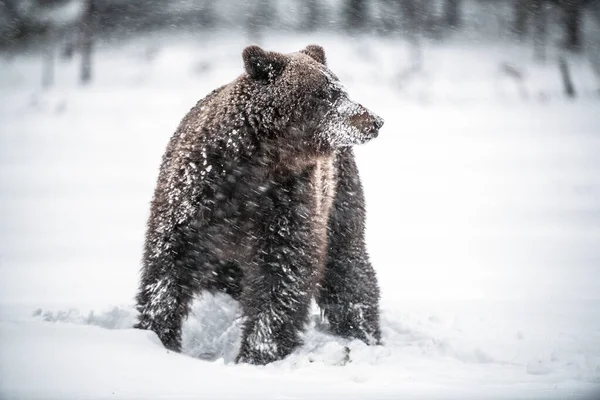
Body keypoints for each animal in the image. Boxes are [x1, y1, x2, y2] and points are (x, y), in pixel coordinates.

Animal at [134, 44, 382, 366]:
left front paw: (258, 351)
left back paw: (363, 332)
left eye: (341, 89)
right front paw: (158, 335)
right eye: (327, 93)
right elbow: (169, 263)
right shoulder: (196, 196)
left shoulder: (287, 202)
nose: (374, 120)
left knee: (348, 267)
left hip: (340, 198)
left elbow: (283, 274)